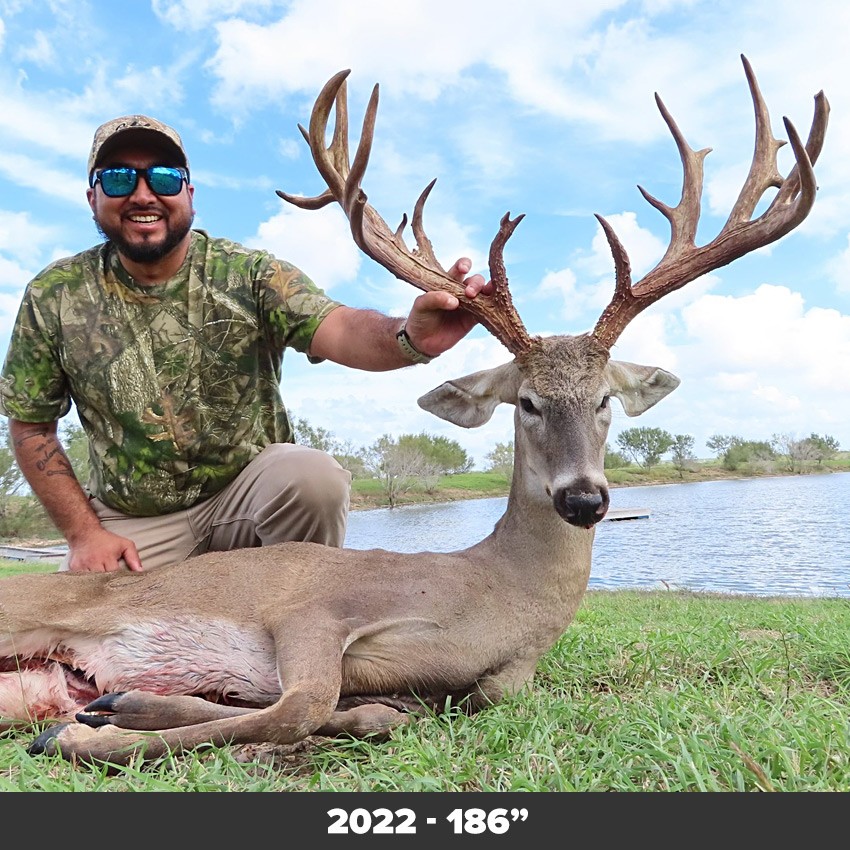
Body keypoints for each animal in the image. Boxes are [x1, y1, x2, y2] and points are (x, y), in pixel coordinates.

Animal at [0, 56, 828, 766]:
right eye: (527, 401)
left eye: (604, 402)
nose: (586, 498)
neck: (493, 596)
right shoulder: (317, 609)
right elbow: (302, 704)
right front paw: (94, 730)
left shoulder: (501, 678)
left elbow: (378, 710)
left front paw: (118, 708)